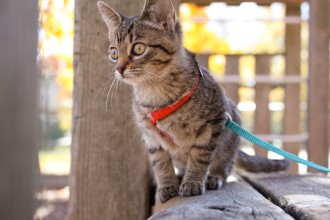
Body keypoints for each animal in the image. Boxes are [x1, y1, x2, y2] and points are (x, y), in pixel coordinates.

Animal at [96, 0, 290, 203]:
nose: (119, 69)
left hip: (231, 130)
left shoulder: (214, 121)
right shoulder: (150, 135)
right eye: (114, 53)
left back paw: (214, 176)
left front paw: (193, 181)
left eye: (138, 48)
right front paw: (167, 185)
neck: (154, 93)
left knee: (226, 162)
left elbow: (200, 155)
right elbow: (160, 161)